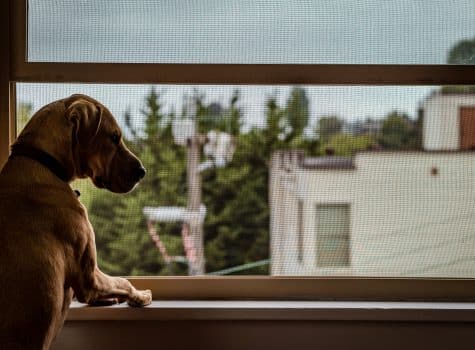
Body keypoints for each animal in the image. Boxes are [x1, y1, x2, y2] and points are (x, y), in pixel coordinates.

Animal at [0, 94, 152, 348]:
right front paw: (140, 296)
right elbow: (123, 281)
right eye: (114, 137)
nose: (142, 171)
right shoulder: (89, 277)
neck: (45, 165)